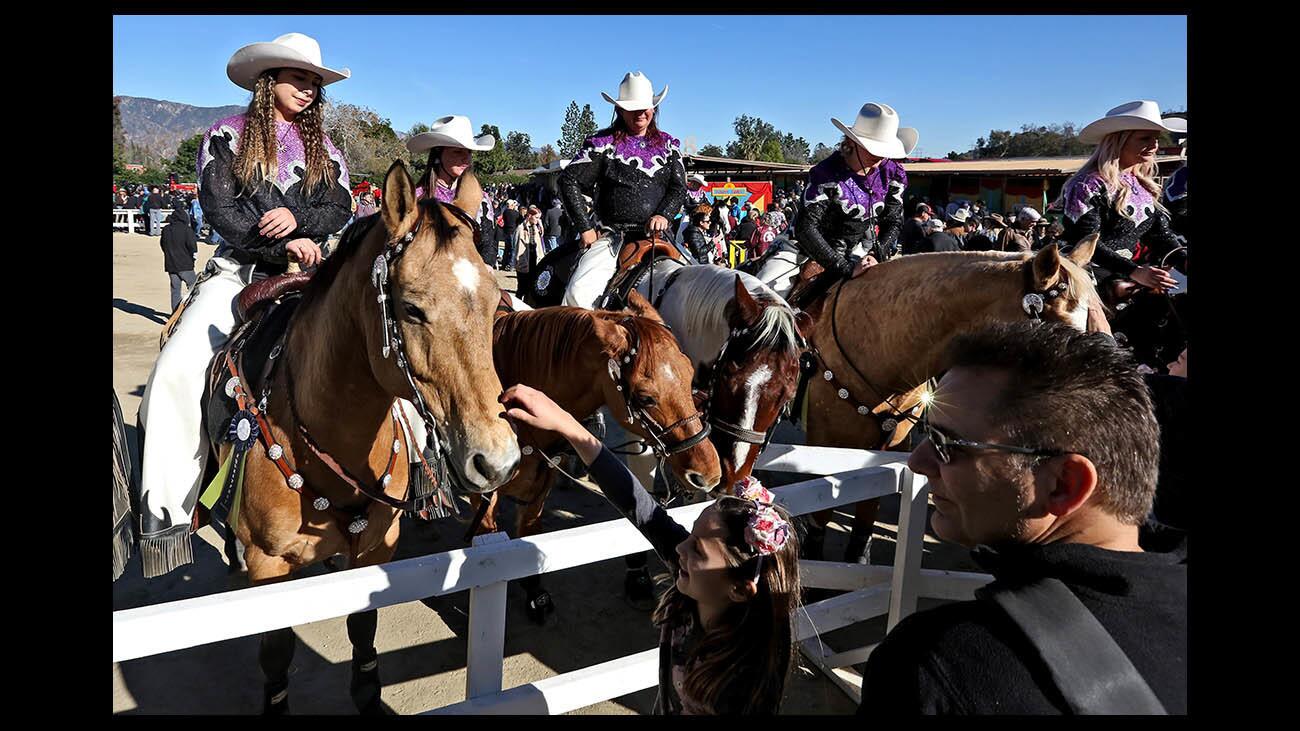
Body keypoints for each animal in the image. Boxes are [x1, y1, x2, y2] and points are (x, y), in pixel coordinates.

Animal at [214, 160, 517, 712]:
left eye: (493, 302)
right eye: (412, 309)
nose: (497, 461)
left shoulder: (375, 548)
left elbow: (363, 626)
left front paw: (368, 693)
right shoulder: (269, 564)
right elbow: (276, 651)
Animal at [470, 290, 717, 619]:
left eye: (690, 377)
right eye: (645, 398)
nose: (708, 471)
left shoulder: (541, 485)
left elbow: (529, 531)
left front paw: (535, 593)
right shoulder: (482, 496)